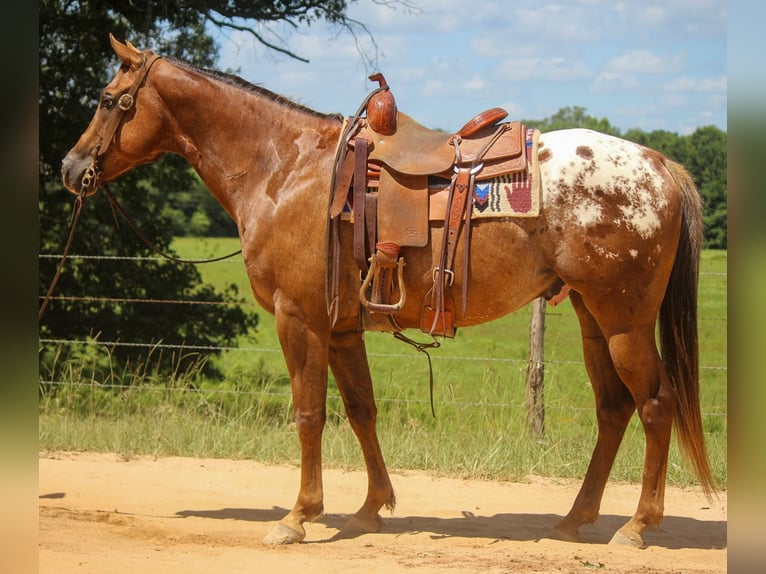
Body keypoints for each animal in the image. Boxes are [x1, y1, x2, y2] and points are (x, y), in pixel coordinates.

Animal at [63, 35, 716, 548]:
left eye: (107, 99)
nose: (71, 169)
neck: (285, 168)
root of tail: (661, 165)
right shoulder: (341, 328)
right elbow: (361, 411)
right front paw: (370, 509)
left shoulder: (298, 319)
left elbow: (309, 414)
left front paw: (297, 517)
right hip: (590, 318)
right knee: (614, 409)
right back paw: (575, 518)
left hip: (624, 321)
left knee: (656, 404)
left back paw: (636, 525)